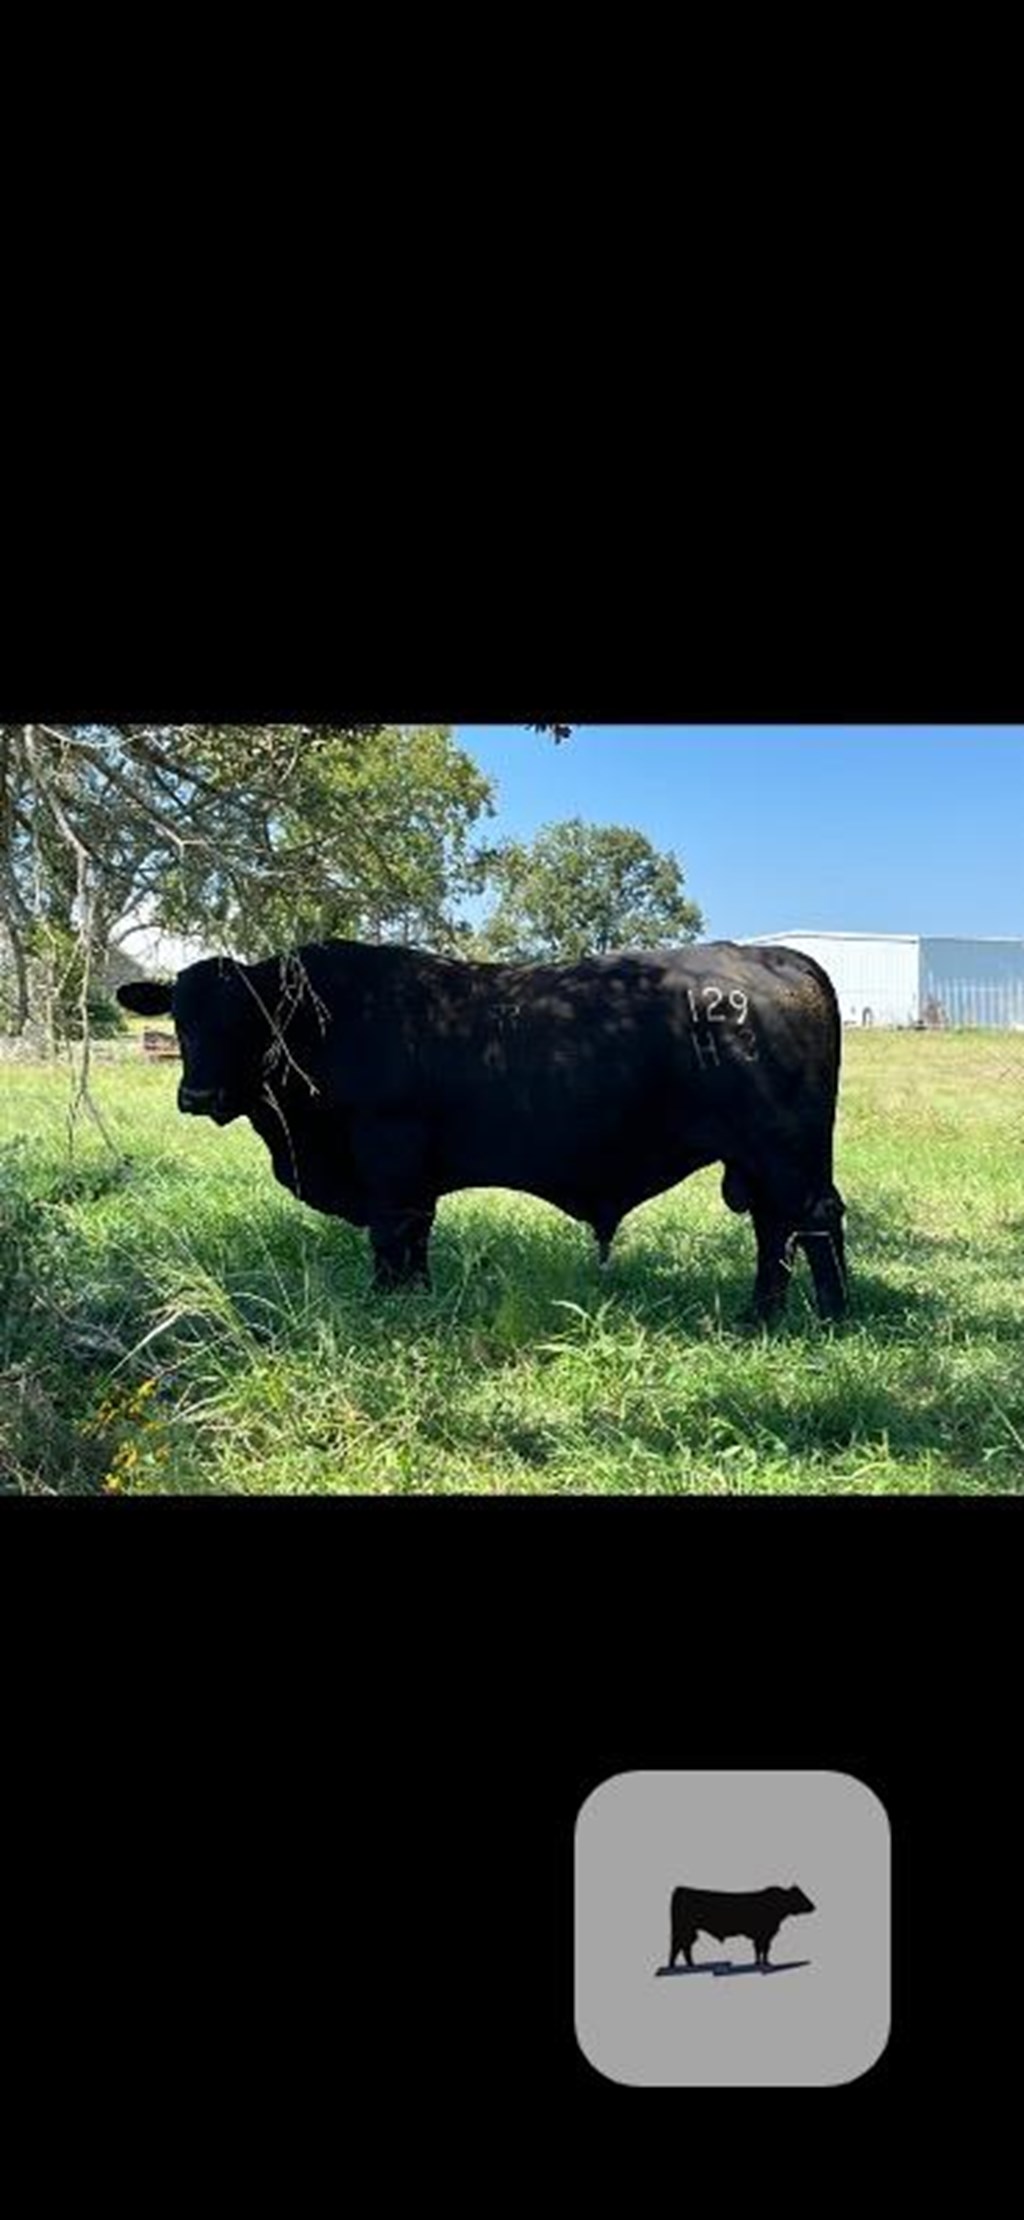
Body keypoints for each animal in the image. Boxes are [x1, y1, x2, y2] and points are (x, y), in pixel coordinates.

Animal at [115, 936, 844, 1314]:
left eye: (247, 1016)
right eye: (181, 1018)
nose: (196, 1092)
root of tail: (782, 959)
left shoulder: (388, 1154)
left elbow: (391, 1237)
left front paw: (387, 1303)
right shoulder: (413, 1177)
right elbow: (416, 1239)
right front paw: (416, 1299)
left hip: (785, 1154)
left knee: (813, 1219)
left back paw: (827, 1314)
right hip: (761, 1160)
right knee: (777, 1228)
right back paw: (762, 1314)